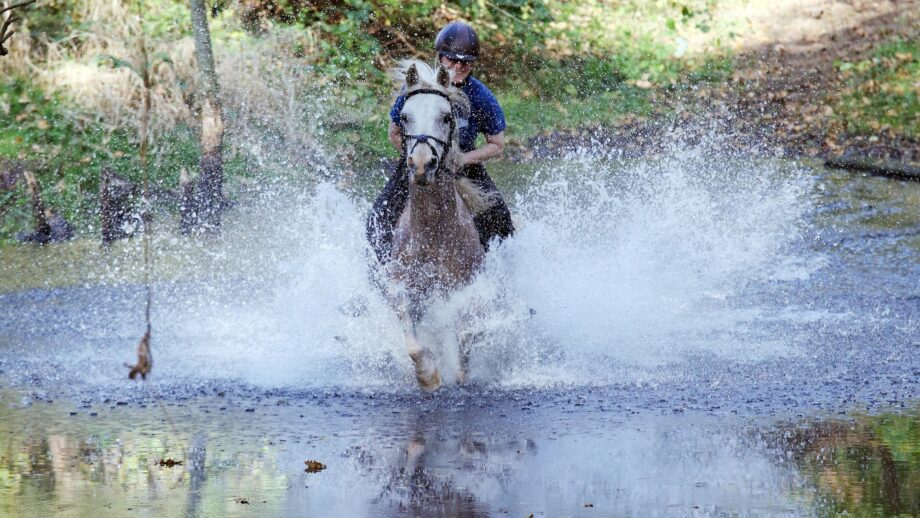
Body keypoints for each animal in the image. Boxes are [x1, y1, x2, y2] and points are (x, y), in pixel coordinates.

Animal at [381, 60, 497, 391]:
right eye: (404, 117)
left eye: (446, 117)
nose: (422, 164)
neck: (434, 232)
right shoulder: (403, 287)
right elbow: (413, 343)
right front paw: (429, 377)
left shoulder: (469, 288)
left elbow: (467, 333)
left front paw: (461, 374)